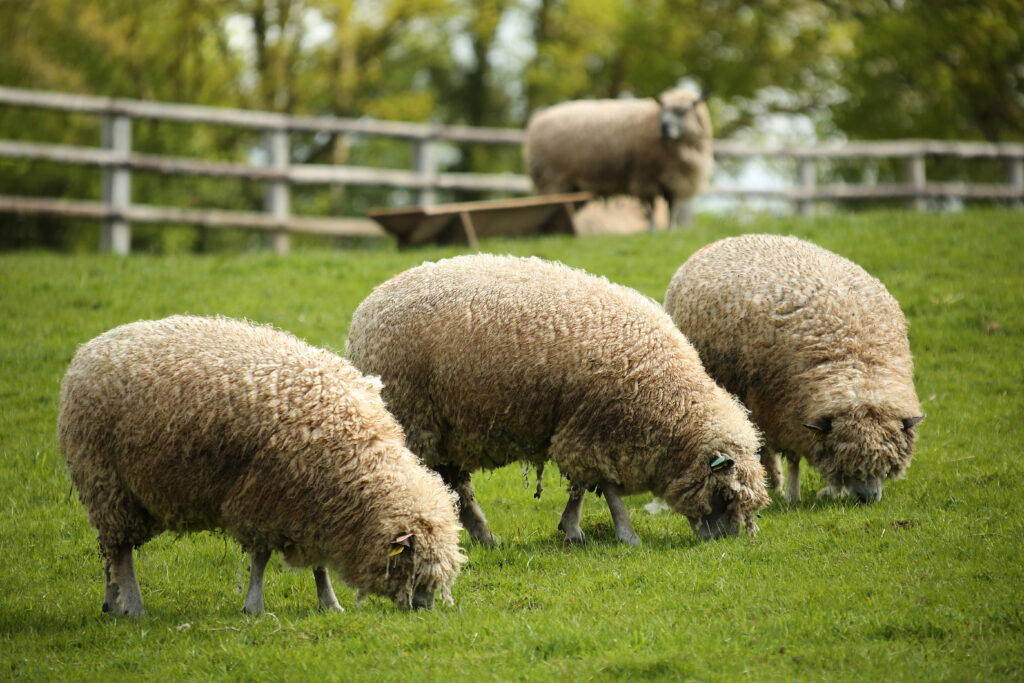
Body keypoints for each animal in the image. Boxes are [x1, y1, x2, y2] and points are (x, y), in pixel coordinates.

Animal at [57, 315, 464, 617]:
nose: (423, 610)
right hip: (107, 483)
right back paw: (133, 606)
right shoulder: (264, 497)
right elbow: (260, 558)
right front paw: (254, 606)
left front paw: (329, 603)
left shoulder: (313, 505)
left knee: (109, 551)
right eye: (412, 563)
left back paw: (112, 603)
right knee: (121, 551)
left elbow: (318, 563)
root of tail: (87, 350)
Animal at [346, 254, 769, 547]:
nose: (728, 543)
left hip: (444, 428)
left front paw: (572, 529)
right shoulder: (596, 427)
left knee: (454, 485)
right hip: (414, 415)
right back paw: (484, 536)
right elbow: (606, 487)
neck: (666, 397)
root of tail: (365, 310)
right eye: (726, 494)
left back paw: (485, 537)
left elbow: (581, 486)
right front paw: (625, 534)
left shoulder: (577, 425)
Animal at [523, 88, 712, 230]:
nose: (664, 127)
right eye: (662, 110)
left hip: (573, 187)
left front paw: (670, 231)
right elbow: (651, 207)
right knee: (548, 205)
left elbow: (672, 208)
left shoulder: (673, 180)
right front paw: (652, 230)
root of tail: (537, 119)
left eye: (683, 111)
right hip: (551, 178)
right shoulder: (646, 176)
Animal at [664, 234, 925, 504]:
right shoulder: (784, 412)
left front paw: (833, 491)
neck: (858, 366)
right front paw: (792, 495)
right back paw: (775, 486)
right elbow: (793, 458)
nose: (868, 498)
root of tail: (727, 239)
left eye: (887, 465)